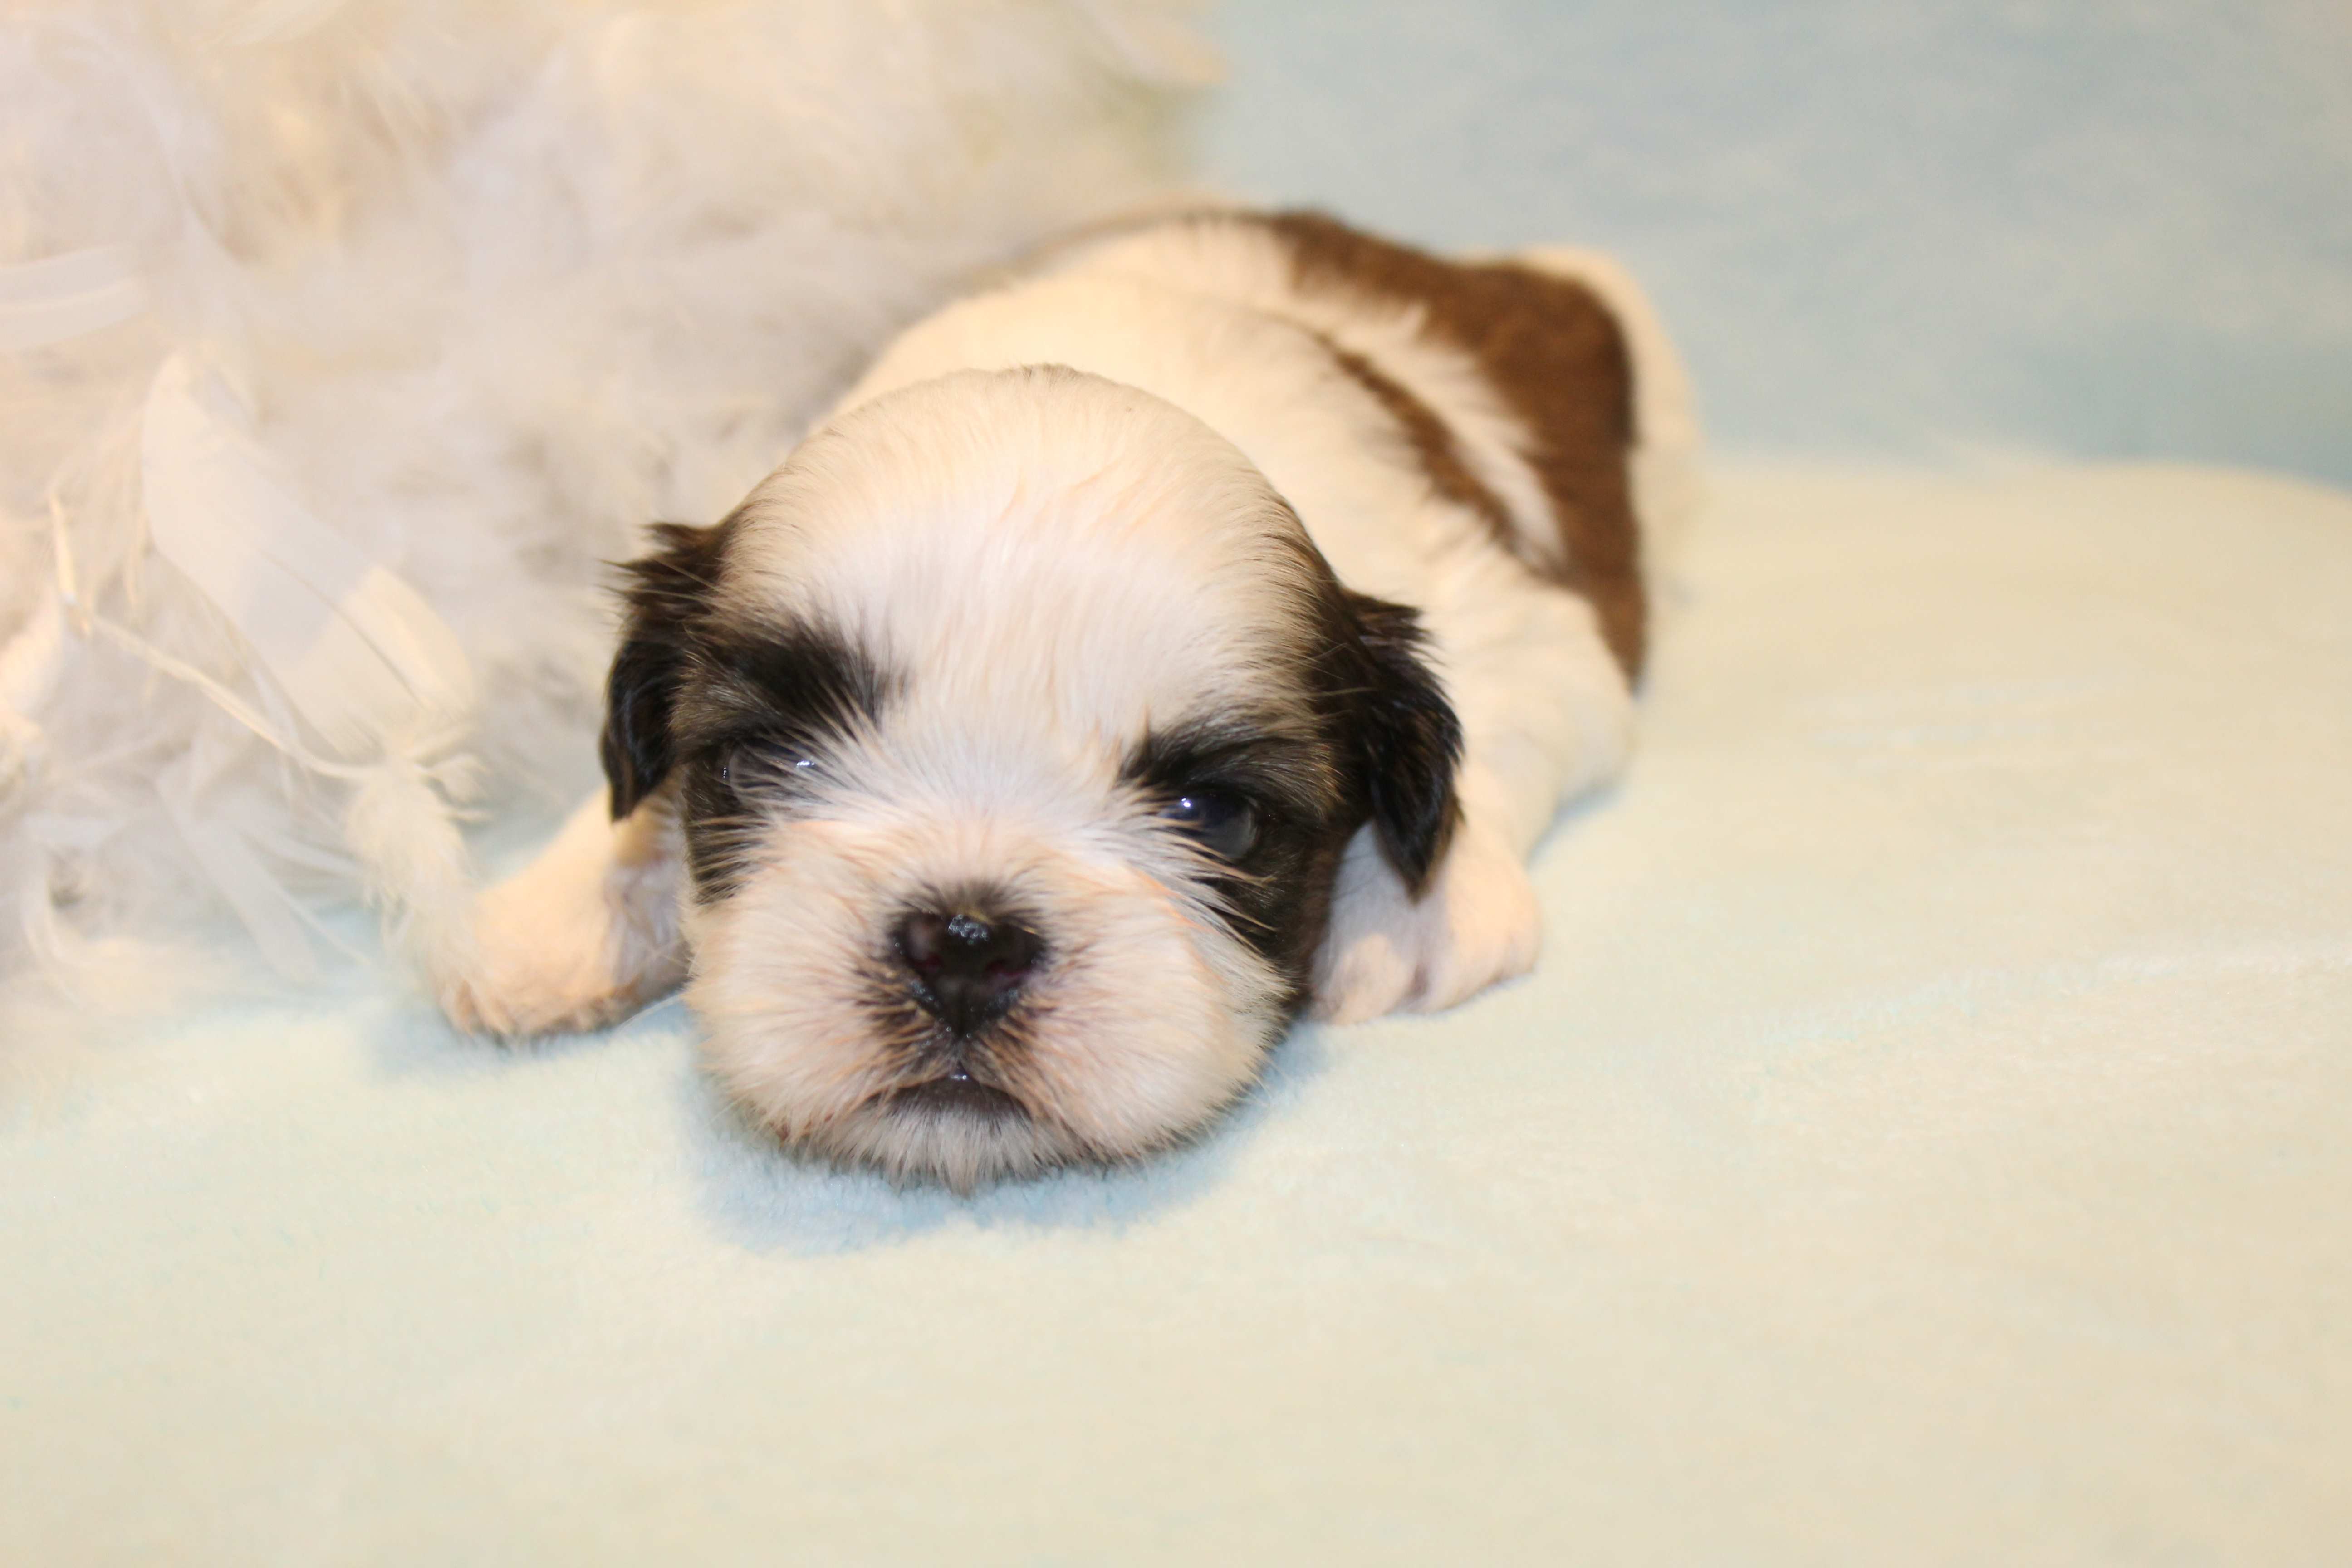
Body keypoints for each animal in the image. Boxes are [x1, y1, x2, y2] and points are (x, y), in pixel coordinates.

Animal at [441, 209, 1694, 1189]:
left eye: (1214, 817)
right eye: (766, 763)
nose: (962, 942)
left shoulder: (1525, 622)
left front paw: (1412, 906)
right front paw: (568, 903)